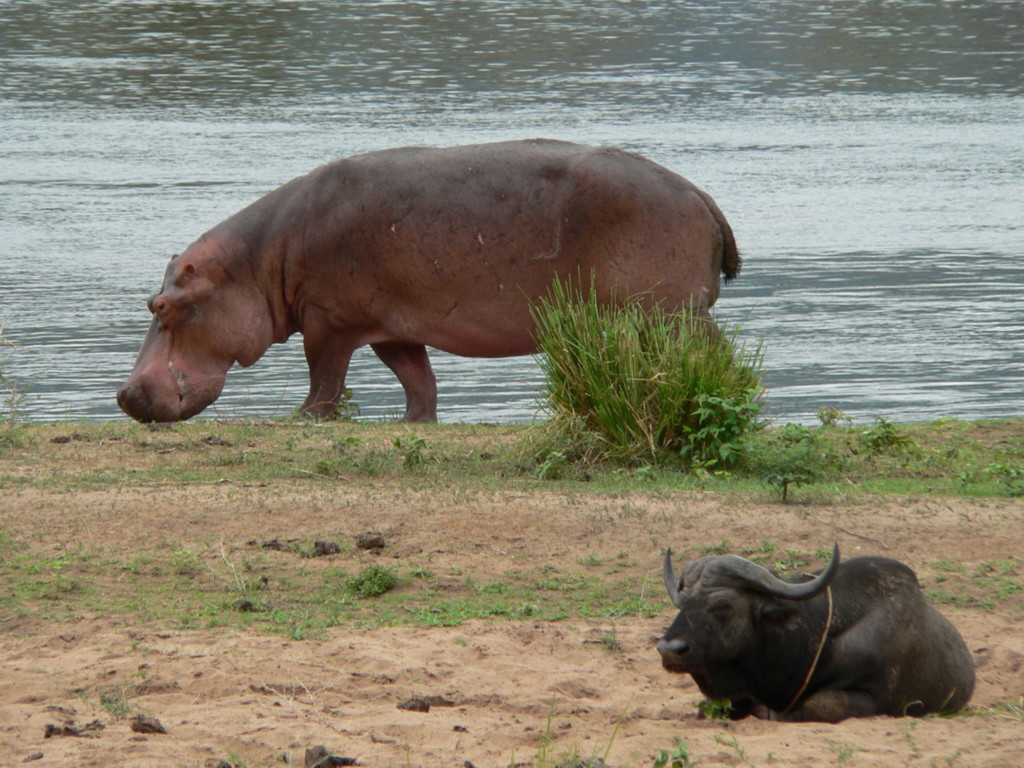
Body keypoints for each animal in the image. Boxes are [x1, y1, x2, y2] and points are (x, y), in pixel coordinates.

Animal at [116, 140, 741, 428]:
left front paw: (300, 419)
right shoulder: (392, 327)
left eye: (162, 305)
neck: (260, 259)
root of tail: (699, 192)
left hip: (675, 313)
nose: (123, 396)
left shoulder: (329, 322)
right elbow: (418, 380)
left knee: (715, 355)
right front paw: (413, 423)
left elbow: (324, 379)